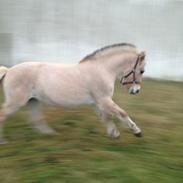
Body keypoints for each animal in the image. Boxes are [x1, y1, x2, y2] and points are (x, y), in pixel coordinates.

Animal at [0, 43, 146, 144]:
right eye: (142, 71)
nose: (136, 91)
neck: (103, 69)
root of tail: (9, 70)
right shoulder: (104, 100)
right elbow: (121, 113)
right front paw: (137, 132)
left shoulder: (98, 102)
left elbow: (106, 117)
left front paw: (114, 134)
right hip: (16, 102)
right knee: (3, 115)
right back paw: (3, 141)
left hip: (33, 101)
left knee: (35, 119)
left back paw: (50, 134)